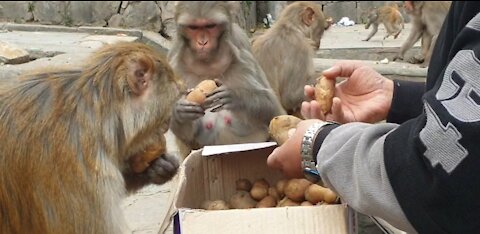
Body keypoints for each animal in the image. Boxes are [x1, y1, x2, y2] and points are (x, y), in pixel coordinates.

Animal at [168, 0, 284, 150]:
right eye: (193, 27)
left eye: (210, 26)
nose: (202, 42)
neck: (209, 65)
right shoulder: (174, 65)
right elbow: (186, 137)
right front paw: (180, 113)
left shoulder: (243, 52)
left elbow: (273, 108)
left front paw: (236, 97)